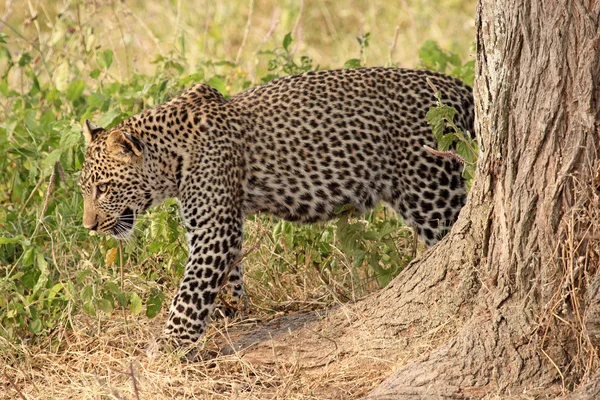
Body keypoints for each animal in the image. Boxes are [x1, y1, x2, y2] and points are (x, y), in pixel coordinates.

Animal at [78, 68, 474, 344]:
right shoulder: (224, 220)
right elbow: (229, 273)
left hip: (432, 192)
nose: (89, 227)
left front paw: (171, 342)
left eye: (104, 188)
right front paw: (232, 309)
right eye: (84, 189)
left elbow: (190, 289)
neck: (169, 157)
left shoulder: (213, 227)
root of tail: (461, 88)